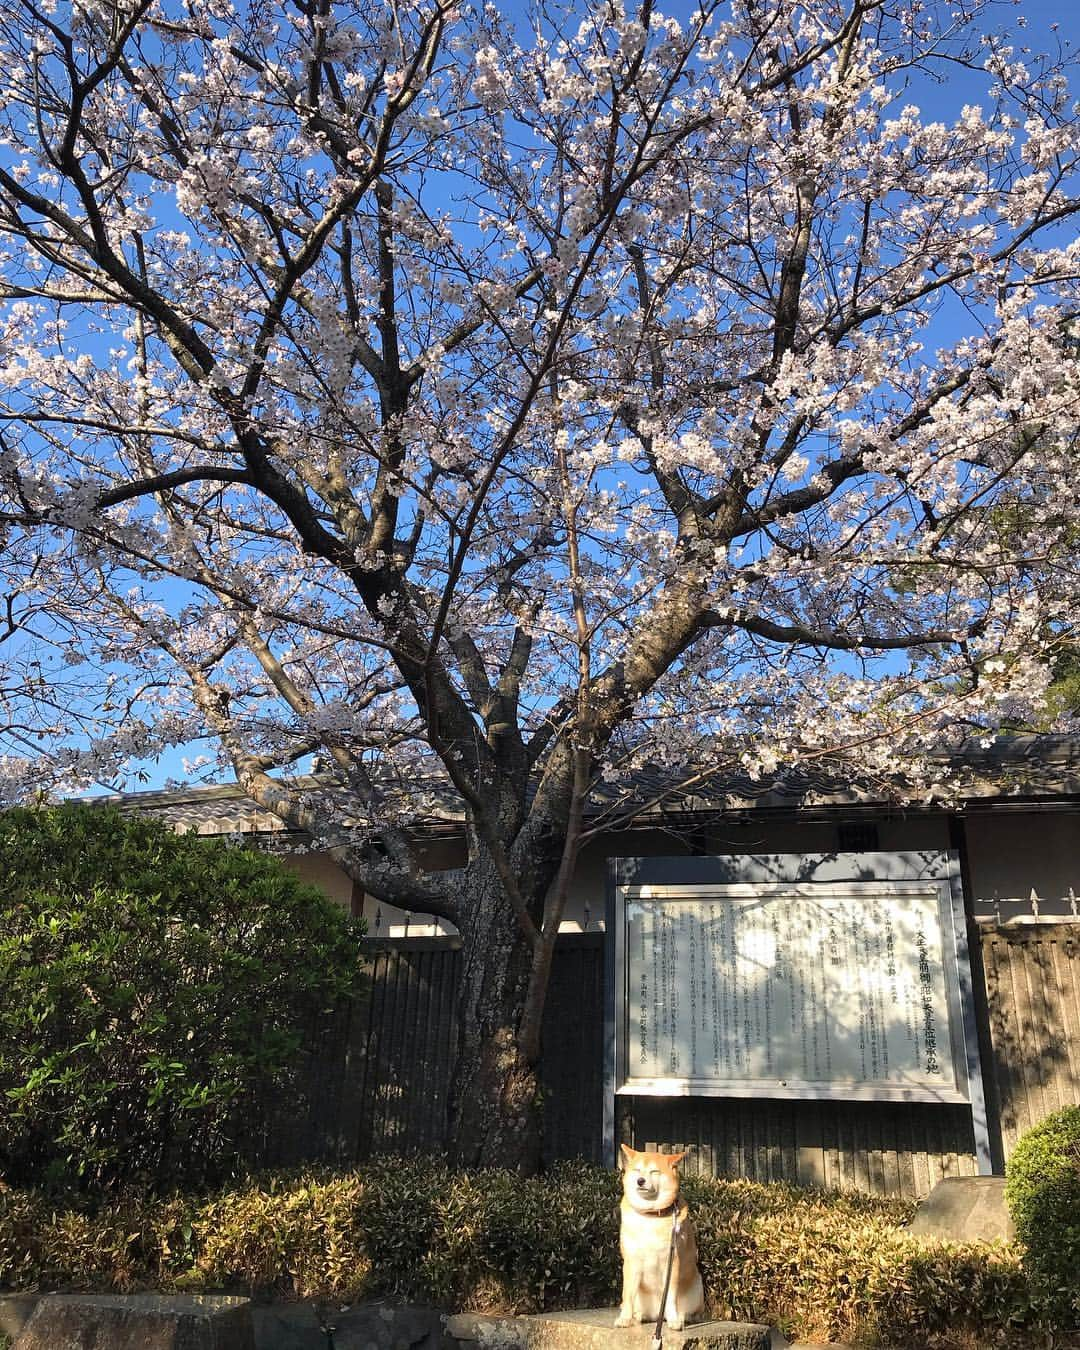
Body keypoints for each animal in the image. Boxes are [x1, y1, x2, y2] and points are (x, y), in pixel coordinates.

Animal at [615, 1150, 707, 1328]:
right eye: (637, 1170)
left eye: (654, 1171)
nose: (640, 1181)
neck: (650, 1216)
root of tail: (658, 1315)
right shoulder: (631, 1261)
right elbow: (627, 1294)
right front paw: (625, 1318)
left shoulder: (672, 1261)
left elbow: (670, 1296)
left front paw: (674, 1320)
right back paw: (638, 1316)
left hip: (697, 1286)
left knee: (693, 1311)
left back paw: (686, 1317)